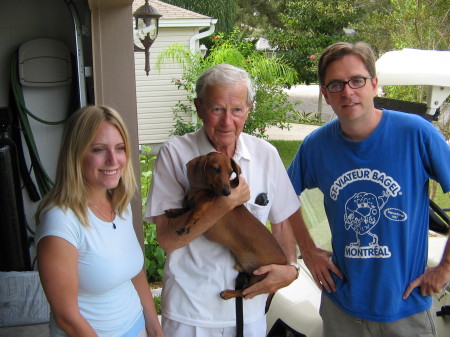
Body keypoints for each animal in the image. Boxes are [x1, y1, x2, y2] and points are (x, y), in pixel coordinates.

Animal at [163, 151, 286, 298]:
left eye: (231, 172)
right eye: (215, 169)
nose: (227, 192)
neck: (200, 189)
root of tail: (285, 262)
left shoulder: (204, 204)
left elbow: (193, 213)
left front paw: (186, 224)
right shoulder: (192, 203)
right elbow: (186, 209)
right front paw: (174, 211)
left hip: (261, 276)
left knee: (244, 292)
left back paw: (228, 293)